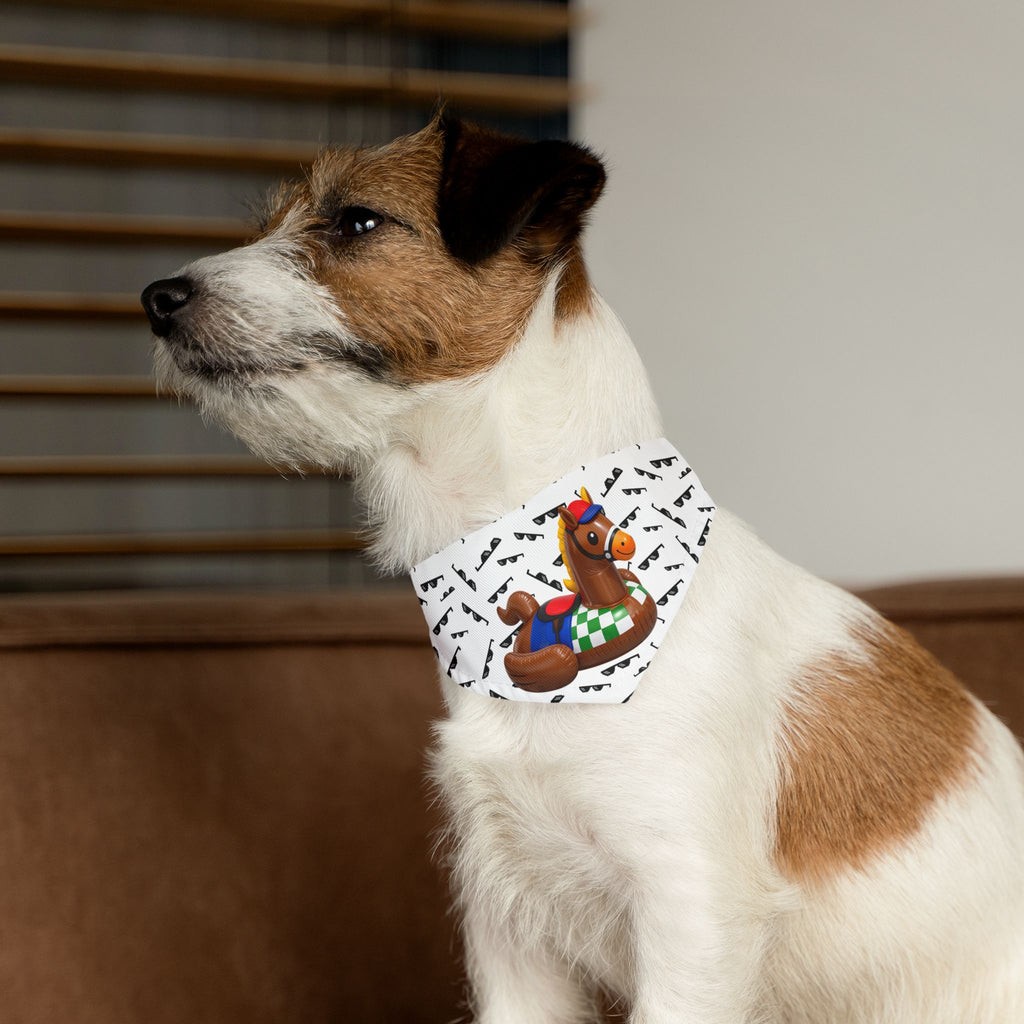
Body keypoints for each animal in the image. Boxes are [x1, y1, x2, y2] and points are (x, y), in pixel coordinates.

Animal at [497, 487, 658, 692]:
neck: (615, 600)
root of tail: (529, 619)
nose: (627, 542)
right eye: (592, 536)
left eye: (604, 515)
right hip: (551, 656)